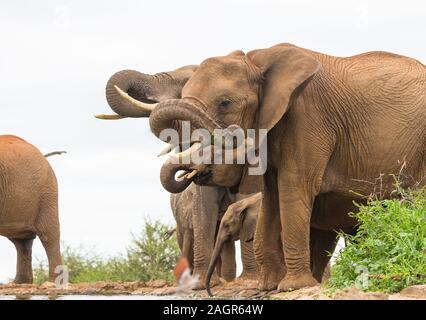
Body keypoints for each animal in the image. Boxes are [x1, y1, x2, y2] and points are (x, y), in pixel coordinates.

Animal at [110, 43, 426, 292]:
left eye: (224, 103)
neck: (259, 63)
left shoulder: (308, 118)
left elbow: (293, 189)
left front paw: (292, 287)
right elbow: (271, 197)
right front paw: (268, 286)